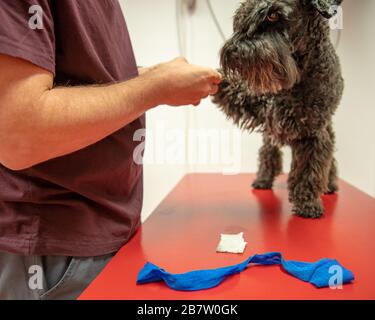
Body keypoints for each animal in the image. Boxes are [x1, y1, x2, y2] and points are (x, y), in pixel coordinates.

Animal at [216, 0, 346, 218]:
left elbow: (310, 169)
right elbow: (234, 90)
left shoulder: (313, 133)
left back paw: (329, 184)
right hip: (272, 131)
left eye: (273, 15)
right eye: (243, 14)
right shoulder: (255, 102)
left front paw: (307, 203)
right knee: (268, 152)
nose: (234, 50)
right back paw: (263, 179)